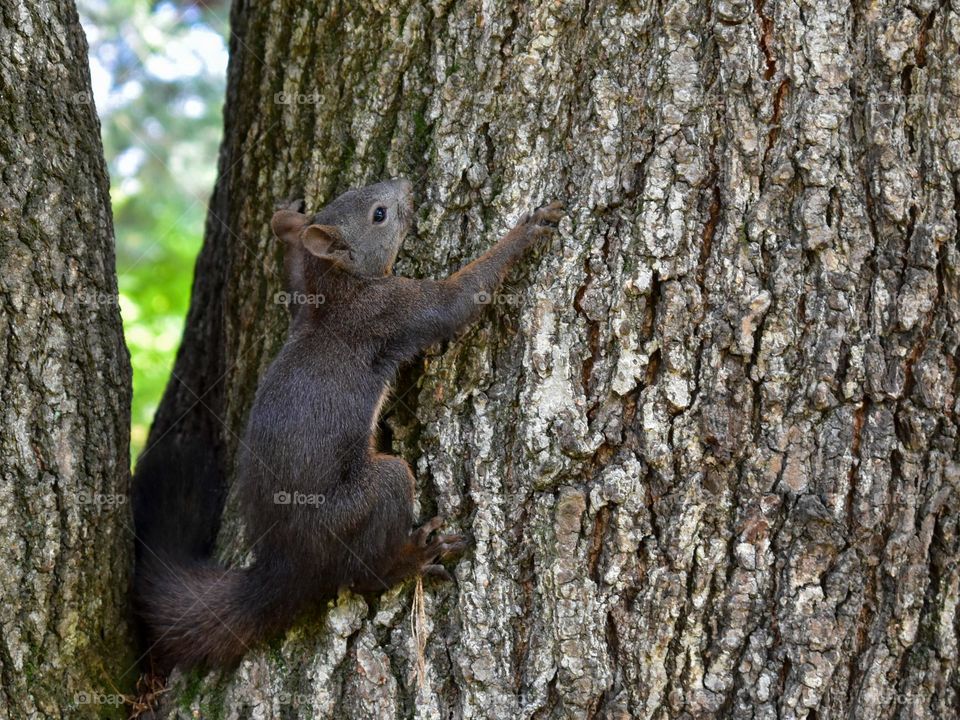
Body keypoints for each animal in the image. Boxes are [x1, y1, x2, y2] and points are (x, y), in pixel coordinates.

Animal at [132, 177, 564, 671]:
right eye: (379, 214)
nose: (405, 184)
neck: (339, 289)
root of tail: (286, 569)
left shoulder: (304, 297)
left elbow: (294, 271)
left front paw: (287, 218)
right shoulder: (391, 309)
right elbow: (457, 299)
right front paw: (528, 230)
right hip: (363, 503)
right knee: (361, 573)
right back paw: (413, 558)